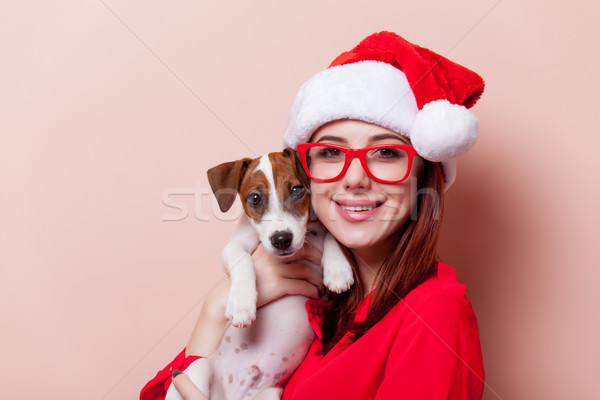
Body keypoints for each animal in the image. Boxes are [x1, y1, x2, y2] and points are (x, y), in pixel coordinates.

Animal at [166, 148, 354, 400]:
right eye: (255, 198)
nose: (281, 239)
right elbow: (243, 260)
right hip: (196, 369)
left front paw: (337, 269)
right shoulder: (234, 247)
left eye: (297, 190)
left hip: (271, 394)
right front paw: (242, 304)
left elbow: (332, 235)